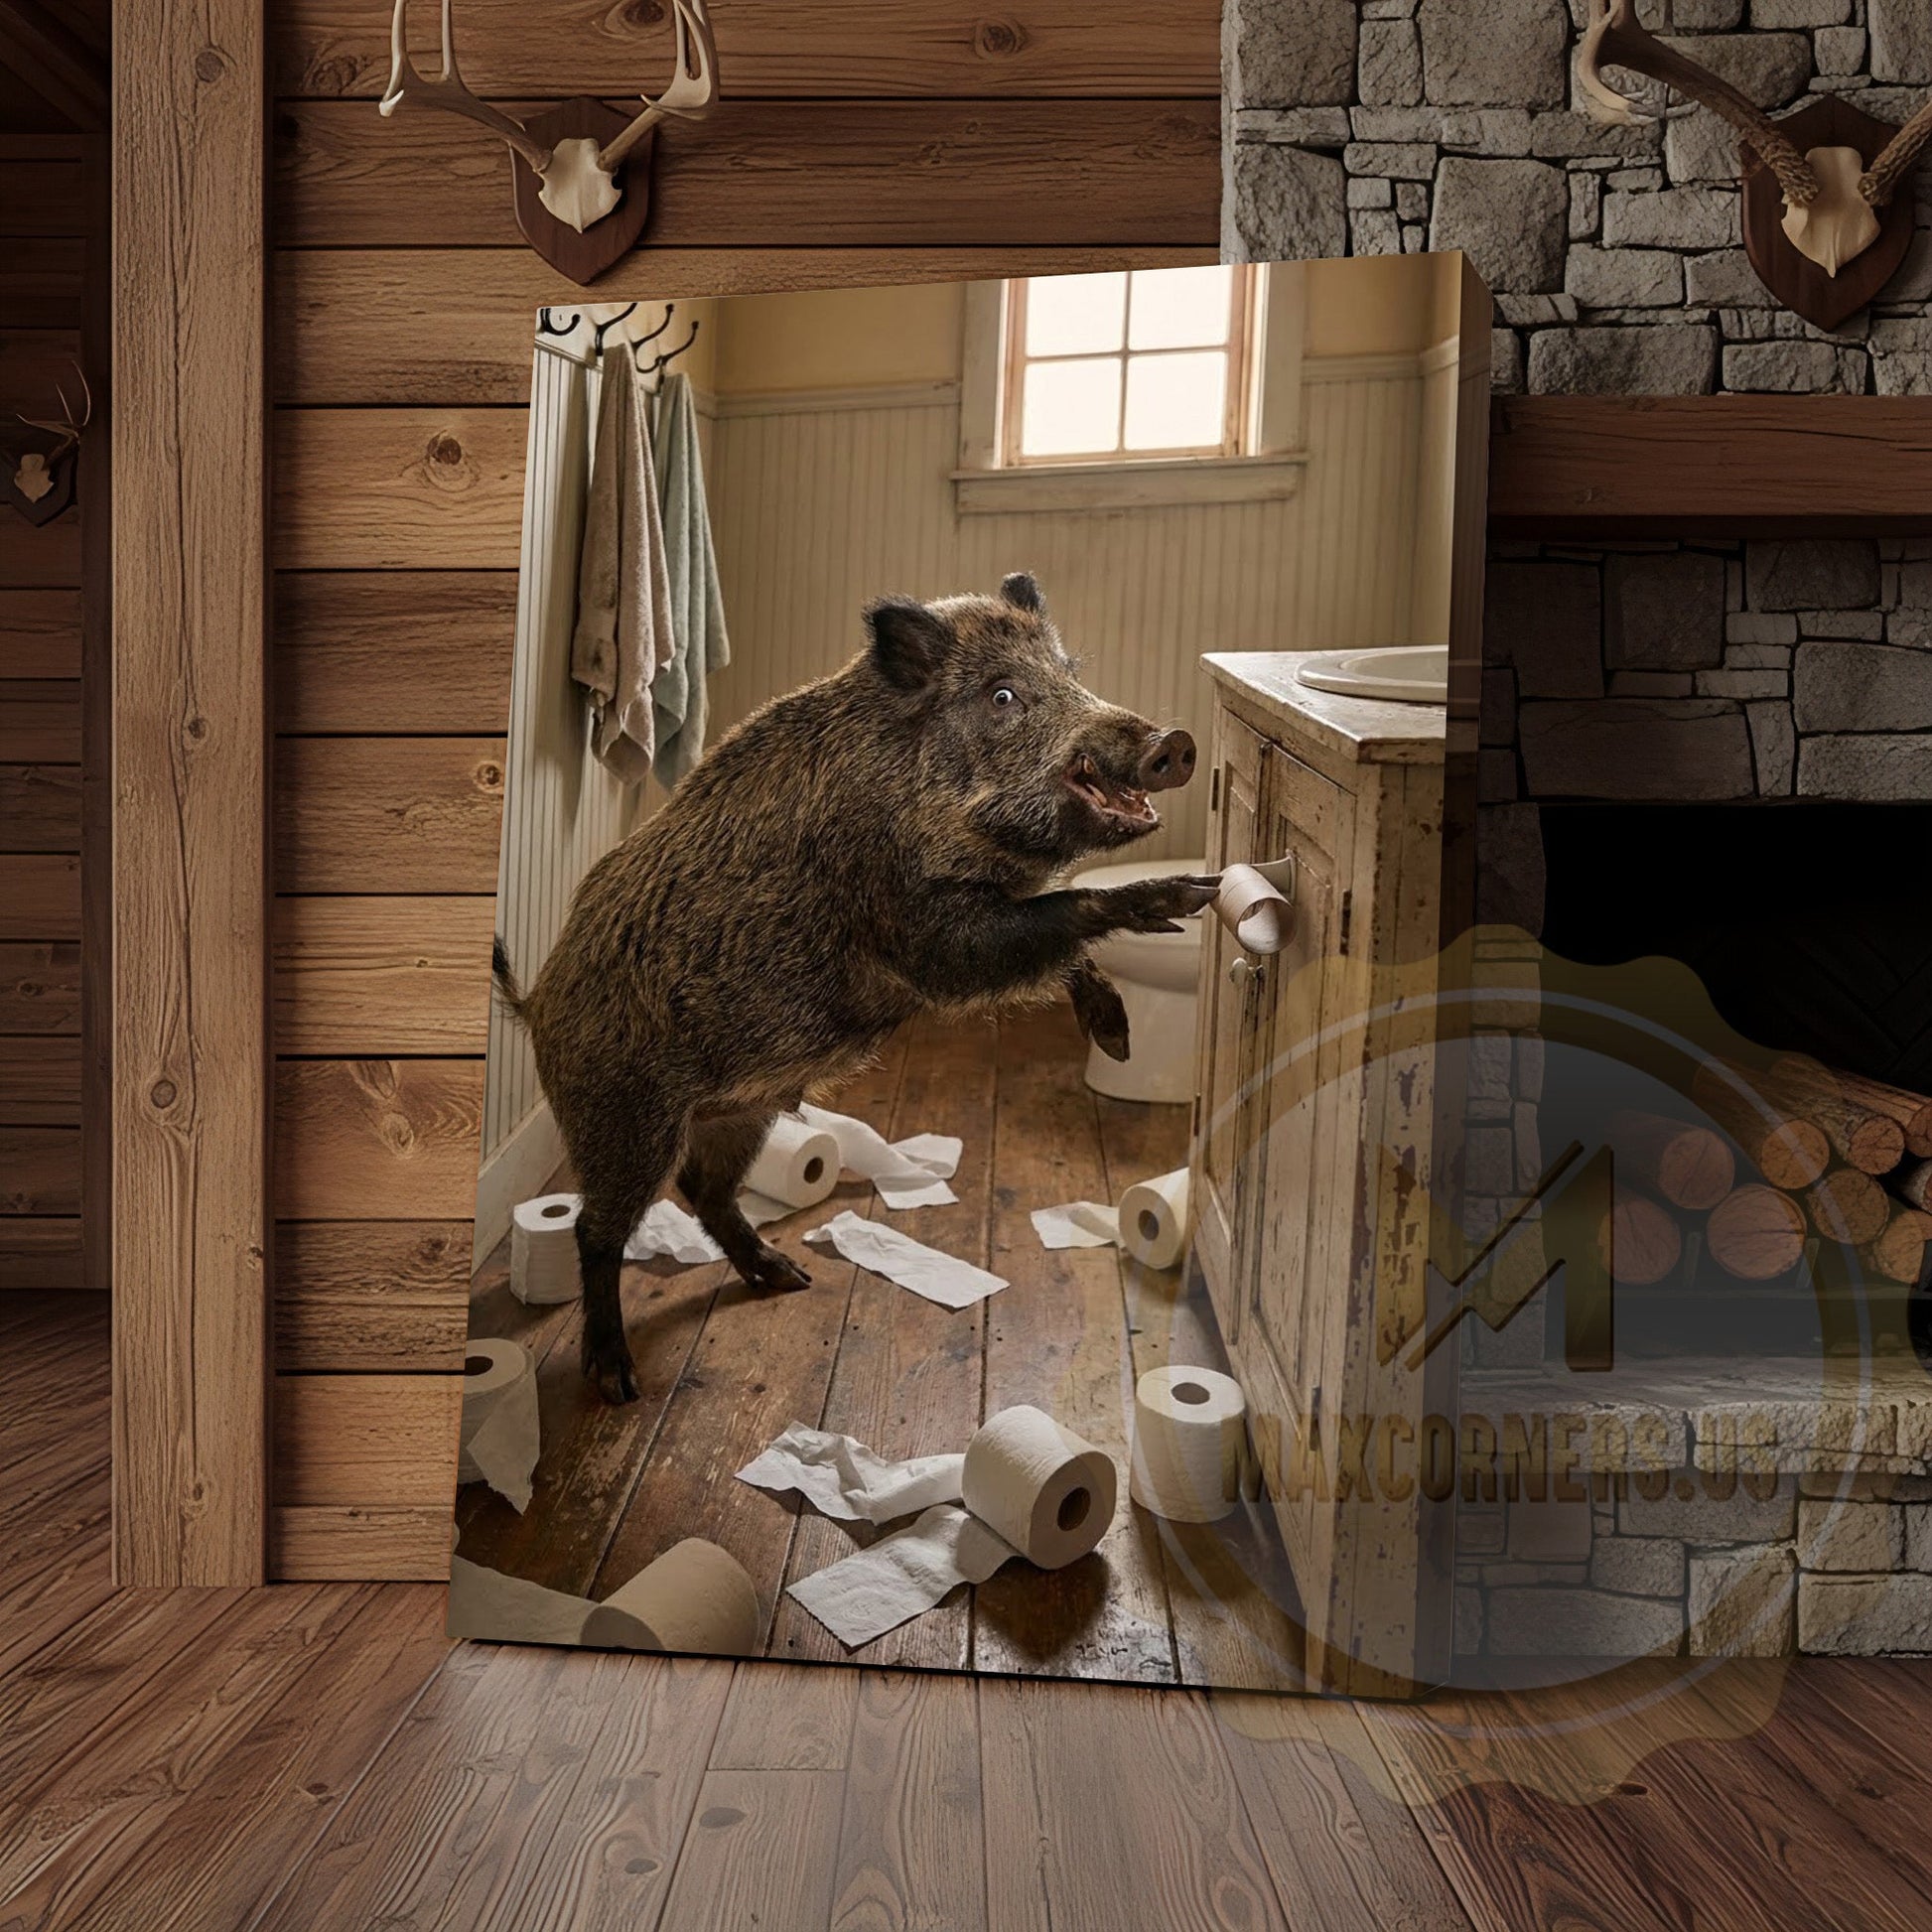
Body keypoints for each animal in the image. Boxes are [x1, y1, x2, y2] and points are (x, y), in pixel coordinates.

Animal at [494, 572, 1216, 1402]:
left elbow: (1061, 943)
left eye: (1071, 669)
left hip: (740, 1110)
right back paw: (616, 1380)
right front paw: (1185, 898)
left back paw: (785, 1277)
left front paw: (1118, 1037)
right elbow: (1061, 914)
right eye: (1003, 695)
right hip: (620, 1118)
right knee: (596, 1228)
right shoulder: (923, 939)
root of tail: (537, 1004)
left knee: (705, 1188)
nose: (1173, 742)